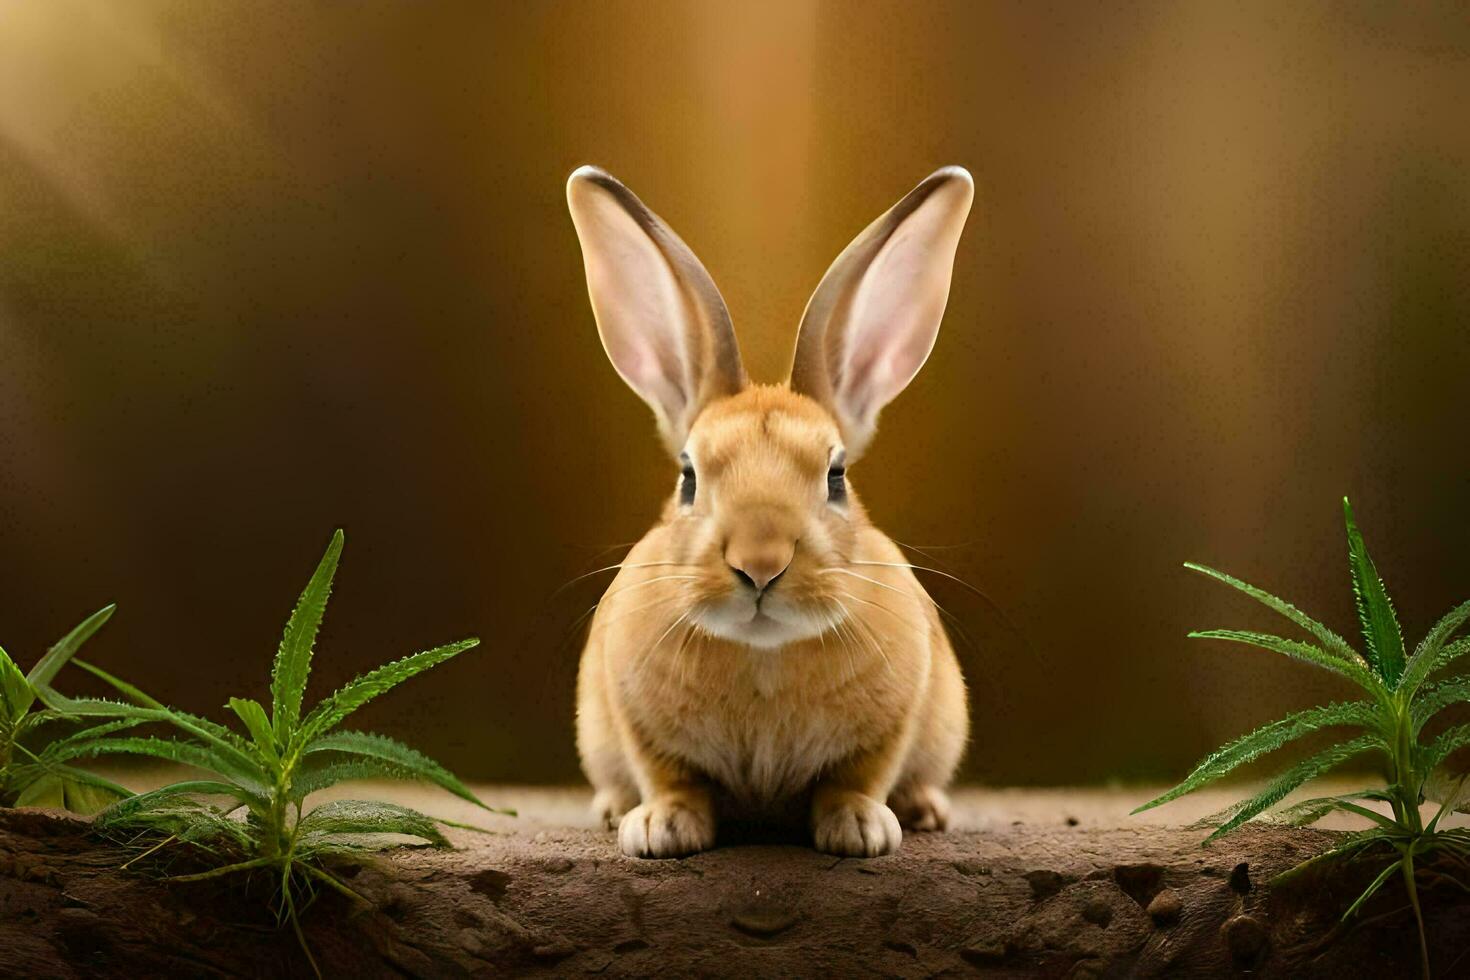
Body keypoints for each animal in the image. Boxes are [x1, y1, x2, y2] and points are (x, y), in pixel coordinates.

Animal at [567, 164, 970, 852]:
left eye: (836, 476)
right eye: (688, 476)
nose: (760, 563)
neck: (764, 657)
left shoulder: (899, 717)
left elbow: (856, 777)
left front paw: (861, 829)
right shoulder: (632, 717)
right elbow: (671, 775)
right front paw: (660, 828)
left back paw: (924, 810)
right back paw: (614, 809)